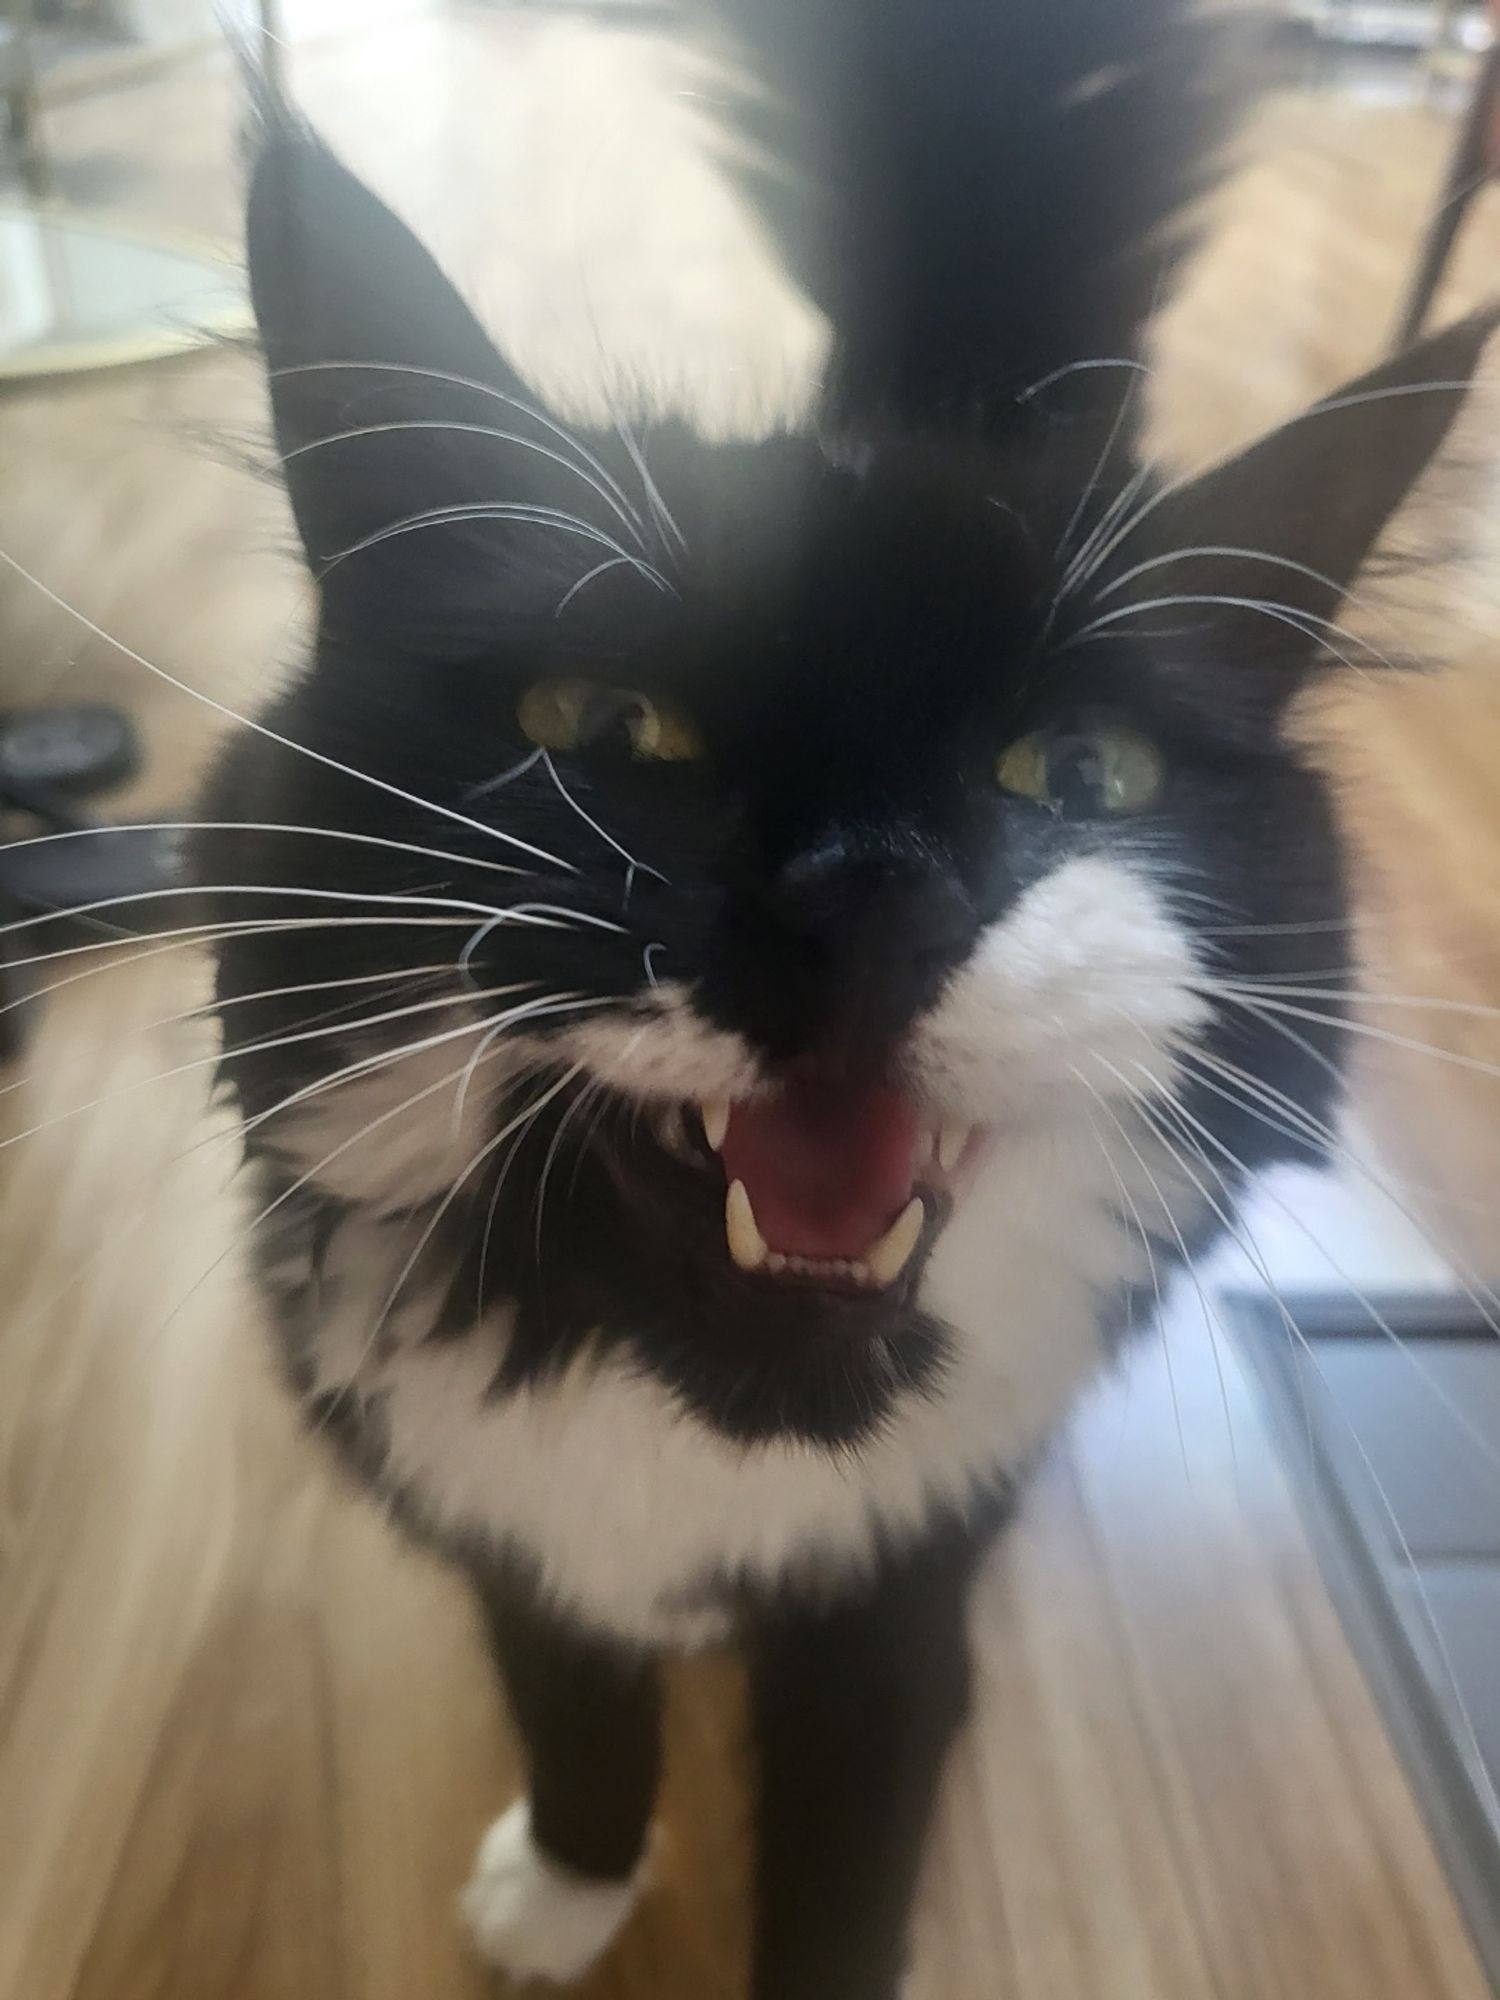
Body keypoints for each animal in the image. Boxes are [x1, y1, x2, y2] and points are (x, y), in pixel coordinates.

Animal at [194, 3, 1496, 2000]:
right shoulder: (509, 1533)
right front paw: (566, 1885)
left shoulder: (894, 1620)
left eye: (1085, 773)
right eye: (606, 726)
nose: (874, 891)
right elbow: (574, 1701)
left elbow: (844, 1868)